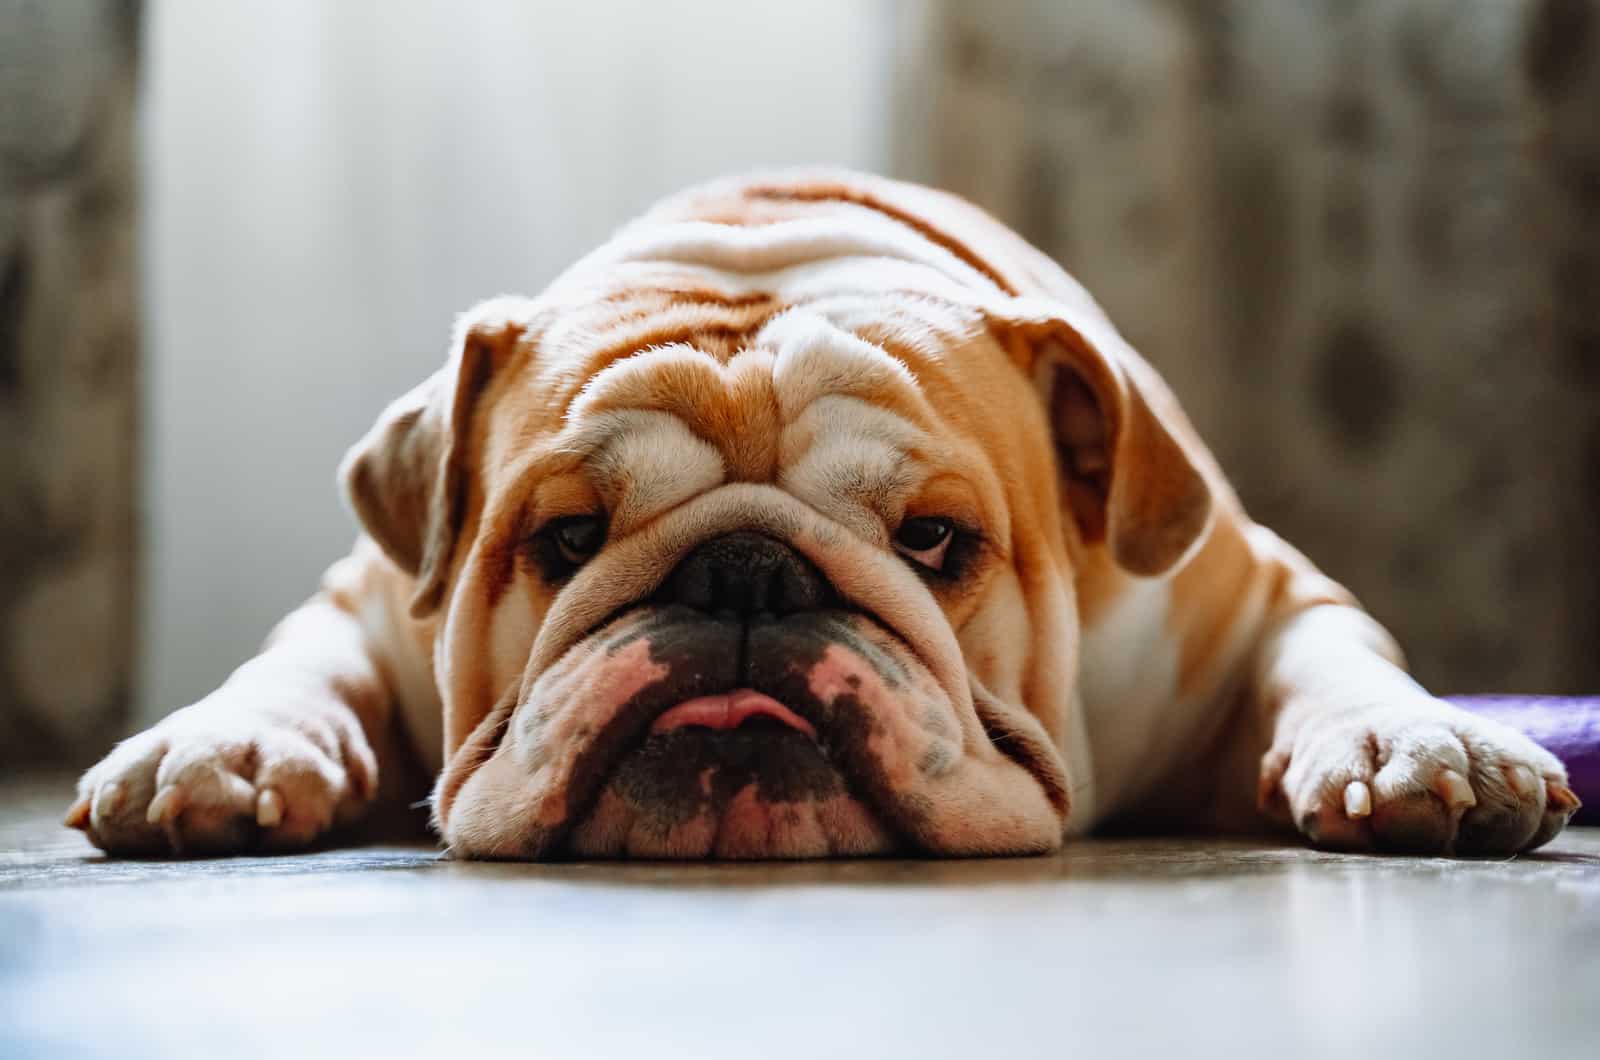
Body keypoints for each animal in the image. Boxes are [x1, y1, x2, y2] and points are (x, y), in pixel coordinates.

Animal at [68, 170, 1580, 858]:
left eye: (934, 541)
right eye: (564, 541)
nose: (744, 576)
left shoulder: (1254, 596)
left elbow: (1334, 659)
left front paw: (1417, 742)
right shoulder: (371, 598)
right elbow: (297, 664)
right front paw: (221, 747)